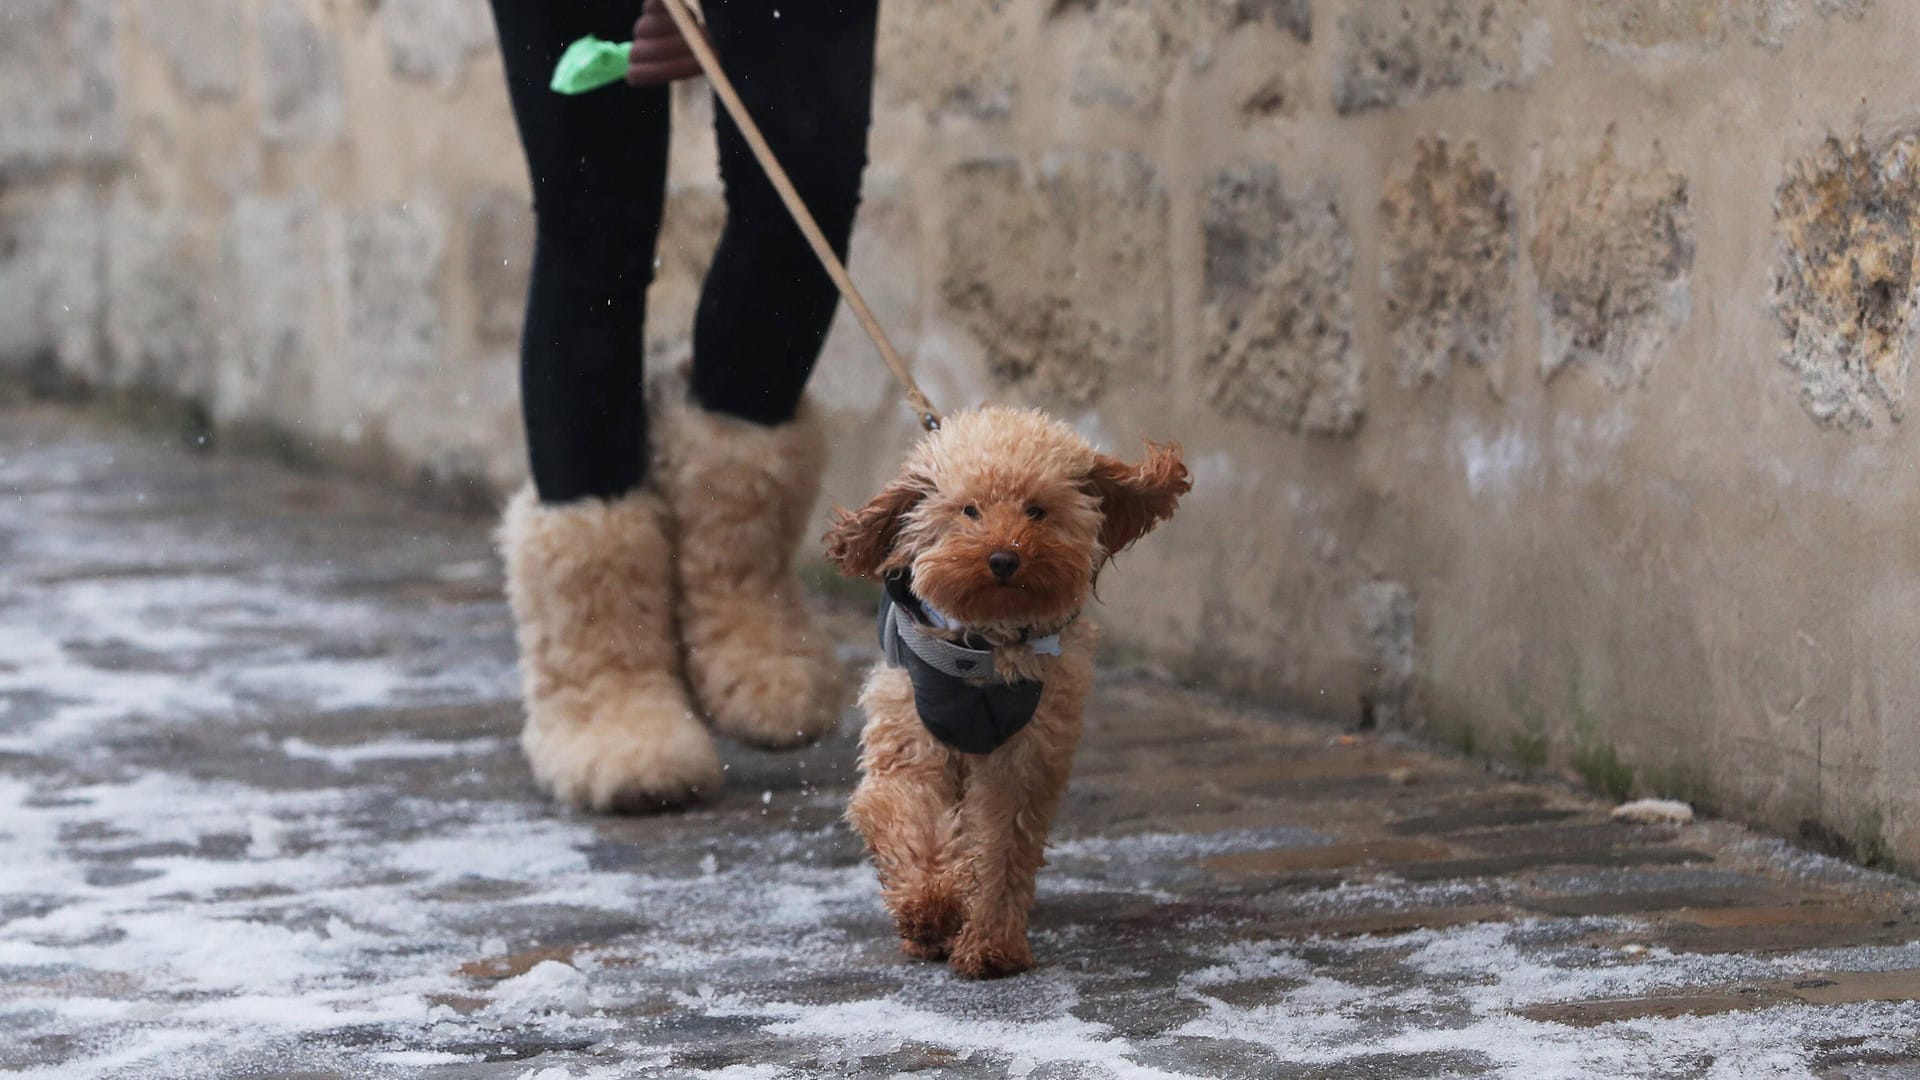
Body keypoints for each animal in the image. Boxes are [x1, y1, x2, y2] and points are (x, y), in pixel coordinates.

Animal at [821, 405, 1182, 976]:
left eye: (1037, 510)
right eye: (970, 510)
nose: (1004, 558)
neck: (987, 651)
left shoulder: (1025, 759)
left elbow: (1002, 846)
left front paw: (991, 943)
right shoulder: (911, 740)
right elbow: (911, 815)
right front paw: (931, 904)